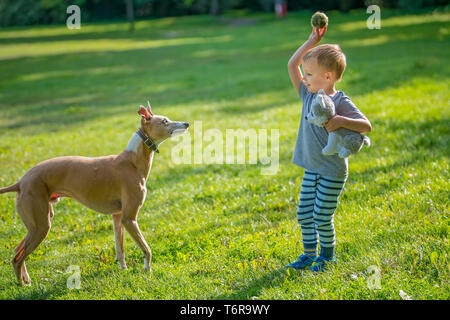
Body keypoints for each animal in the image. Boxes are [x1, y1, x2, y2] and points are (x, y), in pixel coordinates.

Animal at [0, 101, 189, 286]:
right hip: (41, 226)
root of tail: (20, 182)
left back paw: (26, 279)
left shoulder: (118, 217)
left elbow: (120, 249)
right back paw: (22, 286)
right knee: (17, 258)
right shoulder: (129, 218)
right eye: (164, 121)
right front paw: (147, 270)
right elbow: (146, 249)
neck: (132, 161)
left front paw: (124, 270)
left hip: (37, 223)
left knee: (18, 250)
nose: (186, 124)